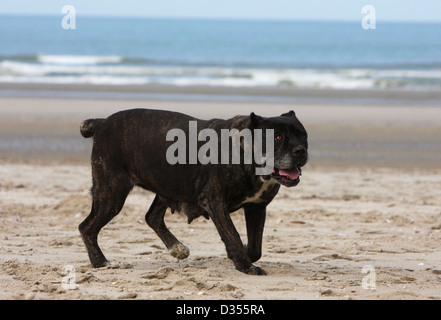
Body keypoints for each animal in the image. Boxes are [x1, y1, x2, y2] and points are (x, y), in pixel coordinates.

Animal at [78, 109, 306, 276]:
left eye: (303, 136)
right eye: (277, 137)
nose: (301, 150)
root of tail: (101, 123)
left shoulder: (257, 207)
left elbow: (255, 246)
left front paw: (242, 255)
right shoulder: (215, 203)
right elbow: (232, 234)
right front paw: (244, 265)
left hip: (167, 184)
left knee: (152, 217)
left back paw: (176, 248)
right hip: (112, 193)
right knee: (87, 227)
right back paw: (101, 262)